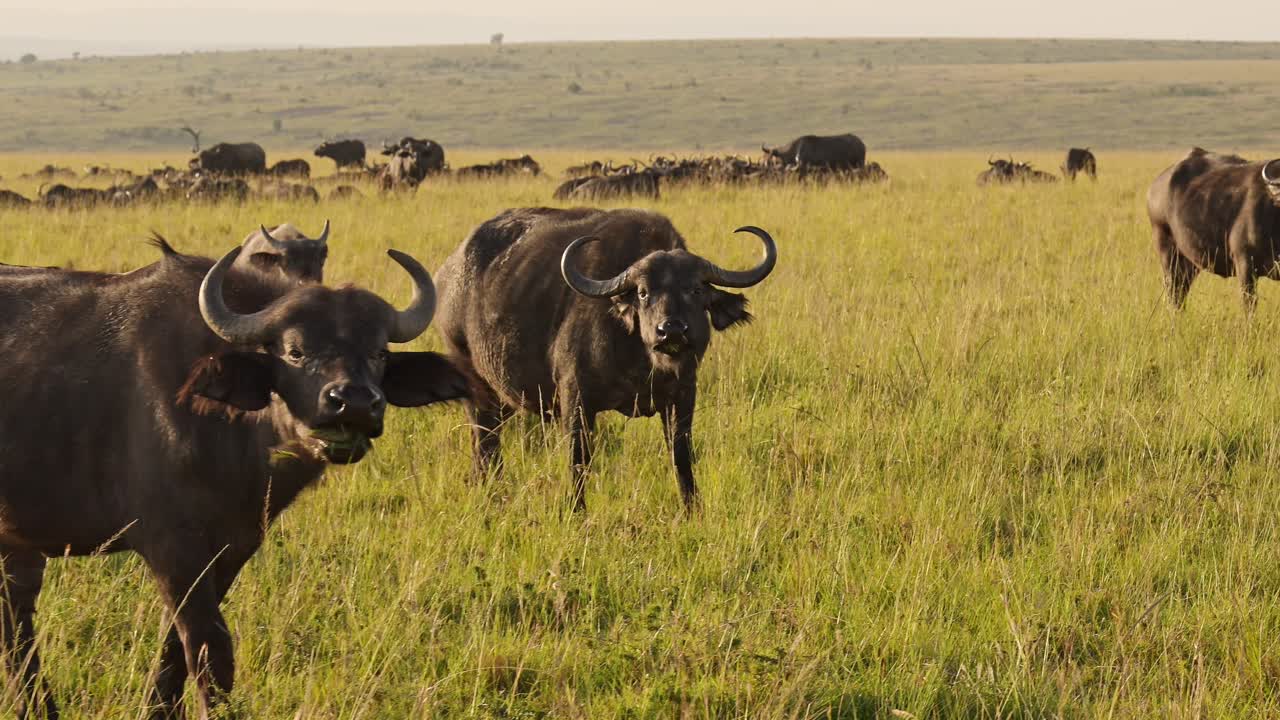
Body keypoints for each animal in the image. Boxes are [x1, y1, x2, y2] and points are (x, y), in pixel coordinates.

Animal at [0, 236, 467, 718]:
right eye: (295, 351)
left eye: (379, 353)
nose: (354, 403)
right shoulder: (171, 547)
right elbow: (209, 650)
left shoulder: (233, 547)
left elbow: (175, 649)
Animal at [435, 207, 776, 511]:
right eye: (642, 292)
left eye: (695, 290)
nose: (671, 331)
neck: (643, 364)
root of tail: (448, 273)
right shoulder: (575, 398)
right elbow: (579, 459)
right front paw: (575, 511)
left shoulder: (682, 396)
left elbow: (681, 455)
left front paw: (692, 509)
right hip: (475, 385)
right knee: (485, 441)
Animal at [1147, 147, 1280, 311]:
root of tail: (1155, 186)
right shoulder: (1245, 264)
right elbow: (1249, 305)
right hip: (1167, 252)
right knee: (1173, 293)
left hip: (1190, 262)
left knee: (1182, 292)